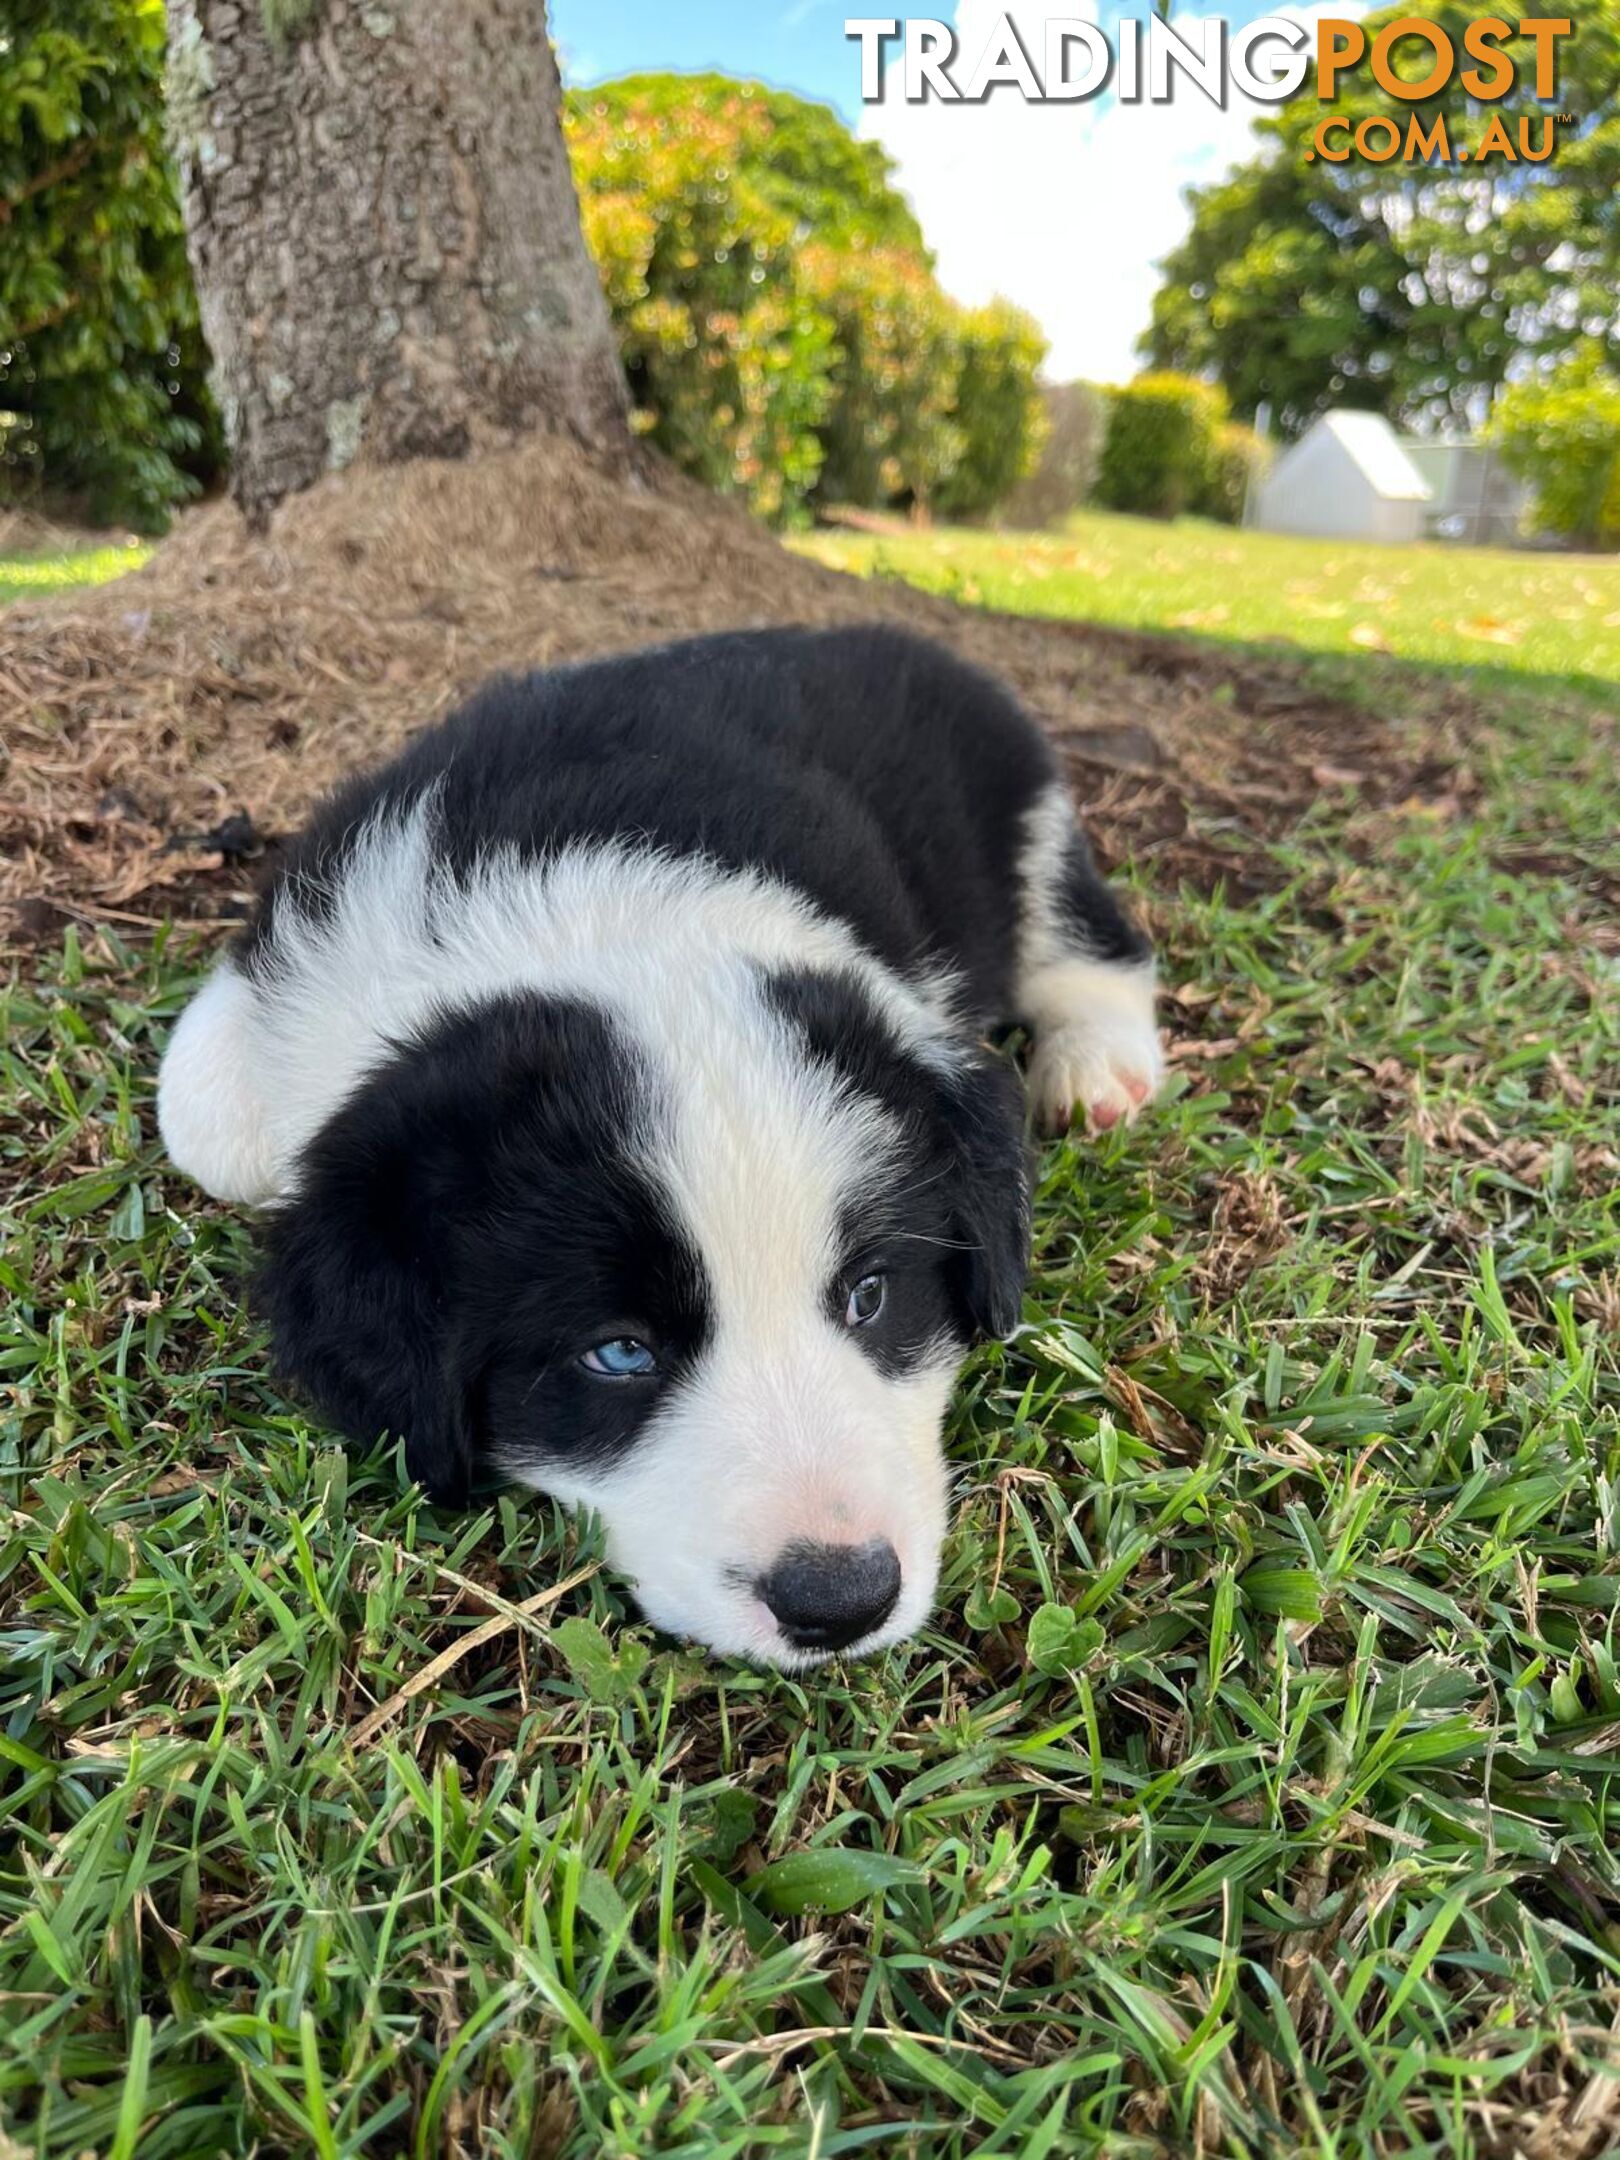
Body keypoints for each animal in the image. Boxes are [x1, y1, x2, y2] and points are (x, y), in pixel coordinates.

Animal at [158, 626, 1157, 1667]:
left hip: (1020, 811)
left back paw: (1098, 1070)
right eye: (618, 1353)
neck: (597, 924)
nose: (841, 1601)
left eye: (871, 1296)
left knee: (1092, 934)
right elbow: (202, 1115)